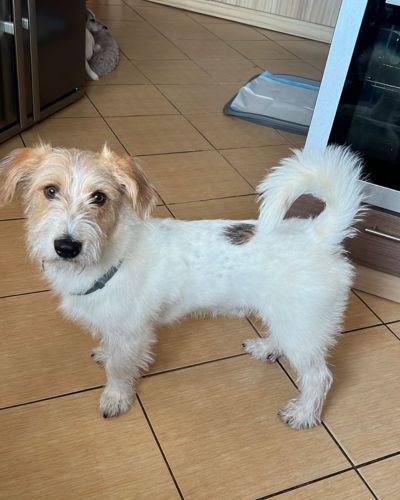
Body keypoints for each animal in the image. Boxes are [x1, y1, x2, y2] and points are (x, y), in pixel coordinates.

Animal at [0, 144, 364, 429]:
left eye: (99, 197)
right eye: (50, 190)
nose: (67, 246)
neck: (112, 251)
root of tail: (318, 235)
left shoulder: (132, 333)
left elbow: (119, 368)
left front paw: (116, 397)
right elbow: (110, 348)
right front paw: (104, 352)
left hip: (302, 326)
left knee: (319, 377)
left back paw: (303, 414)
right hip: (288, 319)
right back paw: (267, 348)